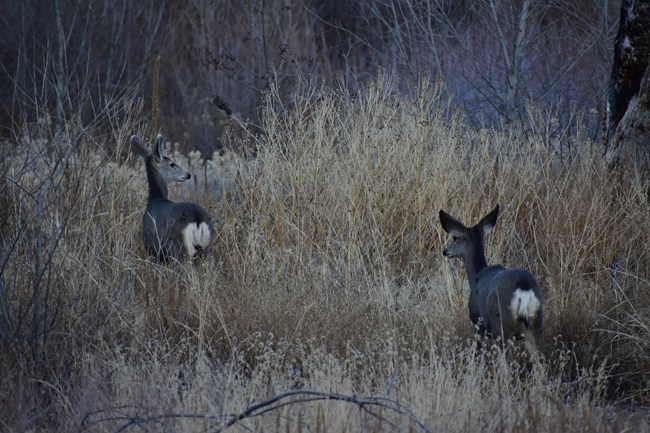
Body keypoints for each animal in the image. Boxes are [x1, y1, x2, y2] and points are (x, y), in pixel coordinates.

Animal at [130, 133, 211, 262]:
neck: (154, 199)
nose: (188, 174)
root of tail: (197, 219)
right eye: (172, 164)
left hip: (178, 248)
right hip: (206, 247)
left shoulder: (153, 250)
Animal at [438, 204, 540, 352]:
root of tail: (523, 289)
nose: (445, 251)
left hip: (501, 326)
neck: (477, 276)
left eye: (455, 238)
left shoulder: (477, 321)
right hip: (535, 325)